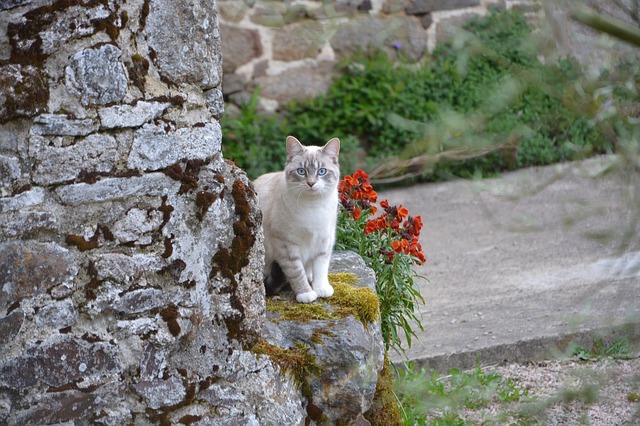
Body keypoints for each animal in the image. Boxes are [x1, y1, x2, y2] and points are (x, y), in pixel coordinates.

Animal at [252, 136, 340, 302]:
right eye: (301, 171)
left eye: (321, 171)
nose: (311, 183)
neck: (313, 206)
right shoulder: (286, 246)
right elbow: (296, 272)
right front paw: (306, 294)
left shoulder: (324, 240)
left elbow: (321, 267)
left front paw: (321, 288)